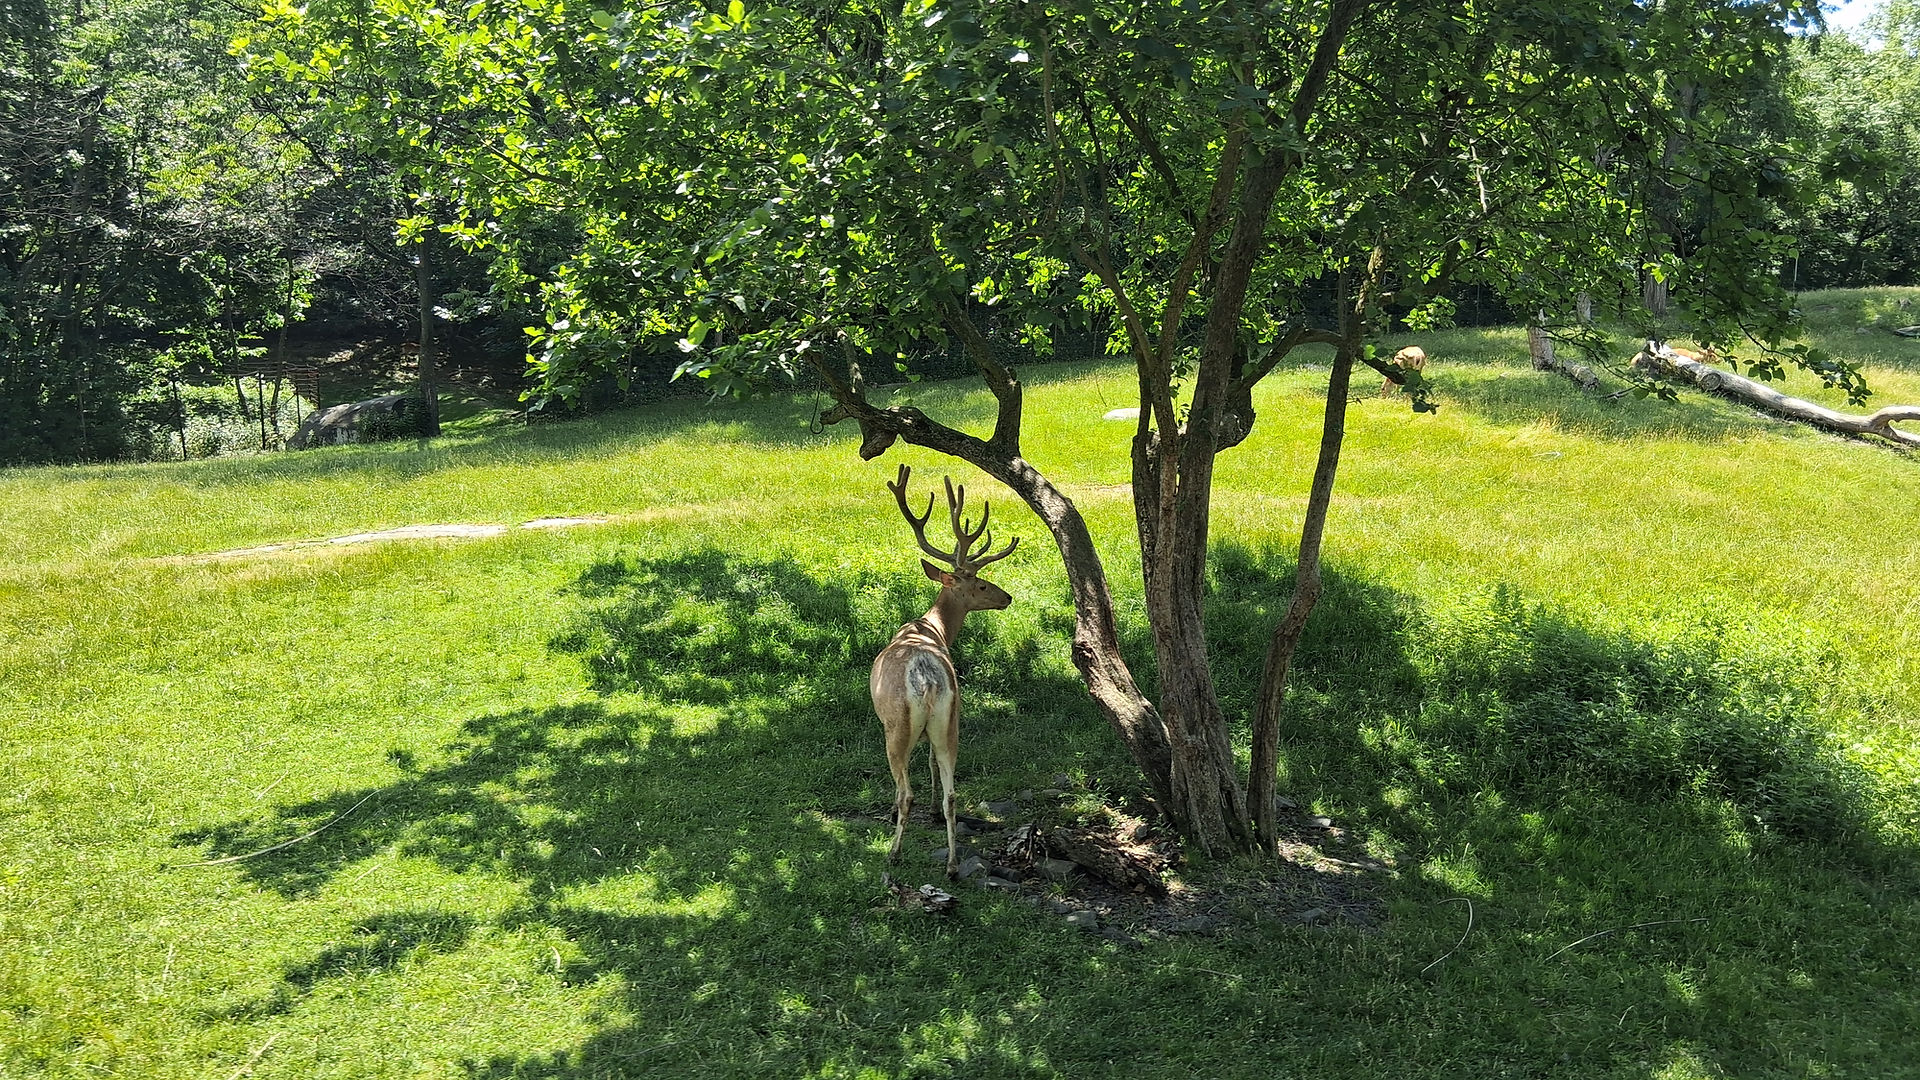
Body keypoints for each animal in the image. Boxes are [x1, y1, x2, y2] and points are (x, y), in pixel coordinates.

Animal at [872, 463, 1017, 878]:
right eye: (981, 584)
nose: (1007, 597)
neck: (930, 626)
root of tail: (926, 680)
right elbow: (933, 767)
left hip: (897, 725)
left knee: (907, 792)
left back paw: (894, 852)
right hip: (950, 719)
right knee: (953, 791)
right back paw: (952, 864)